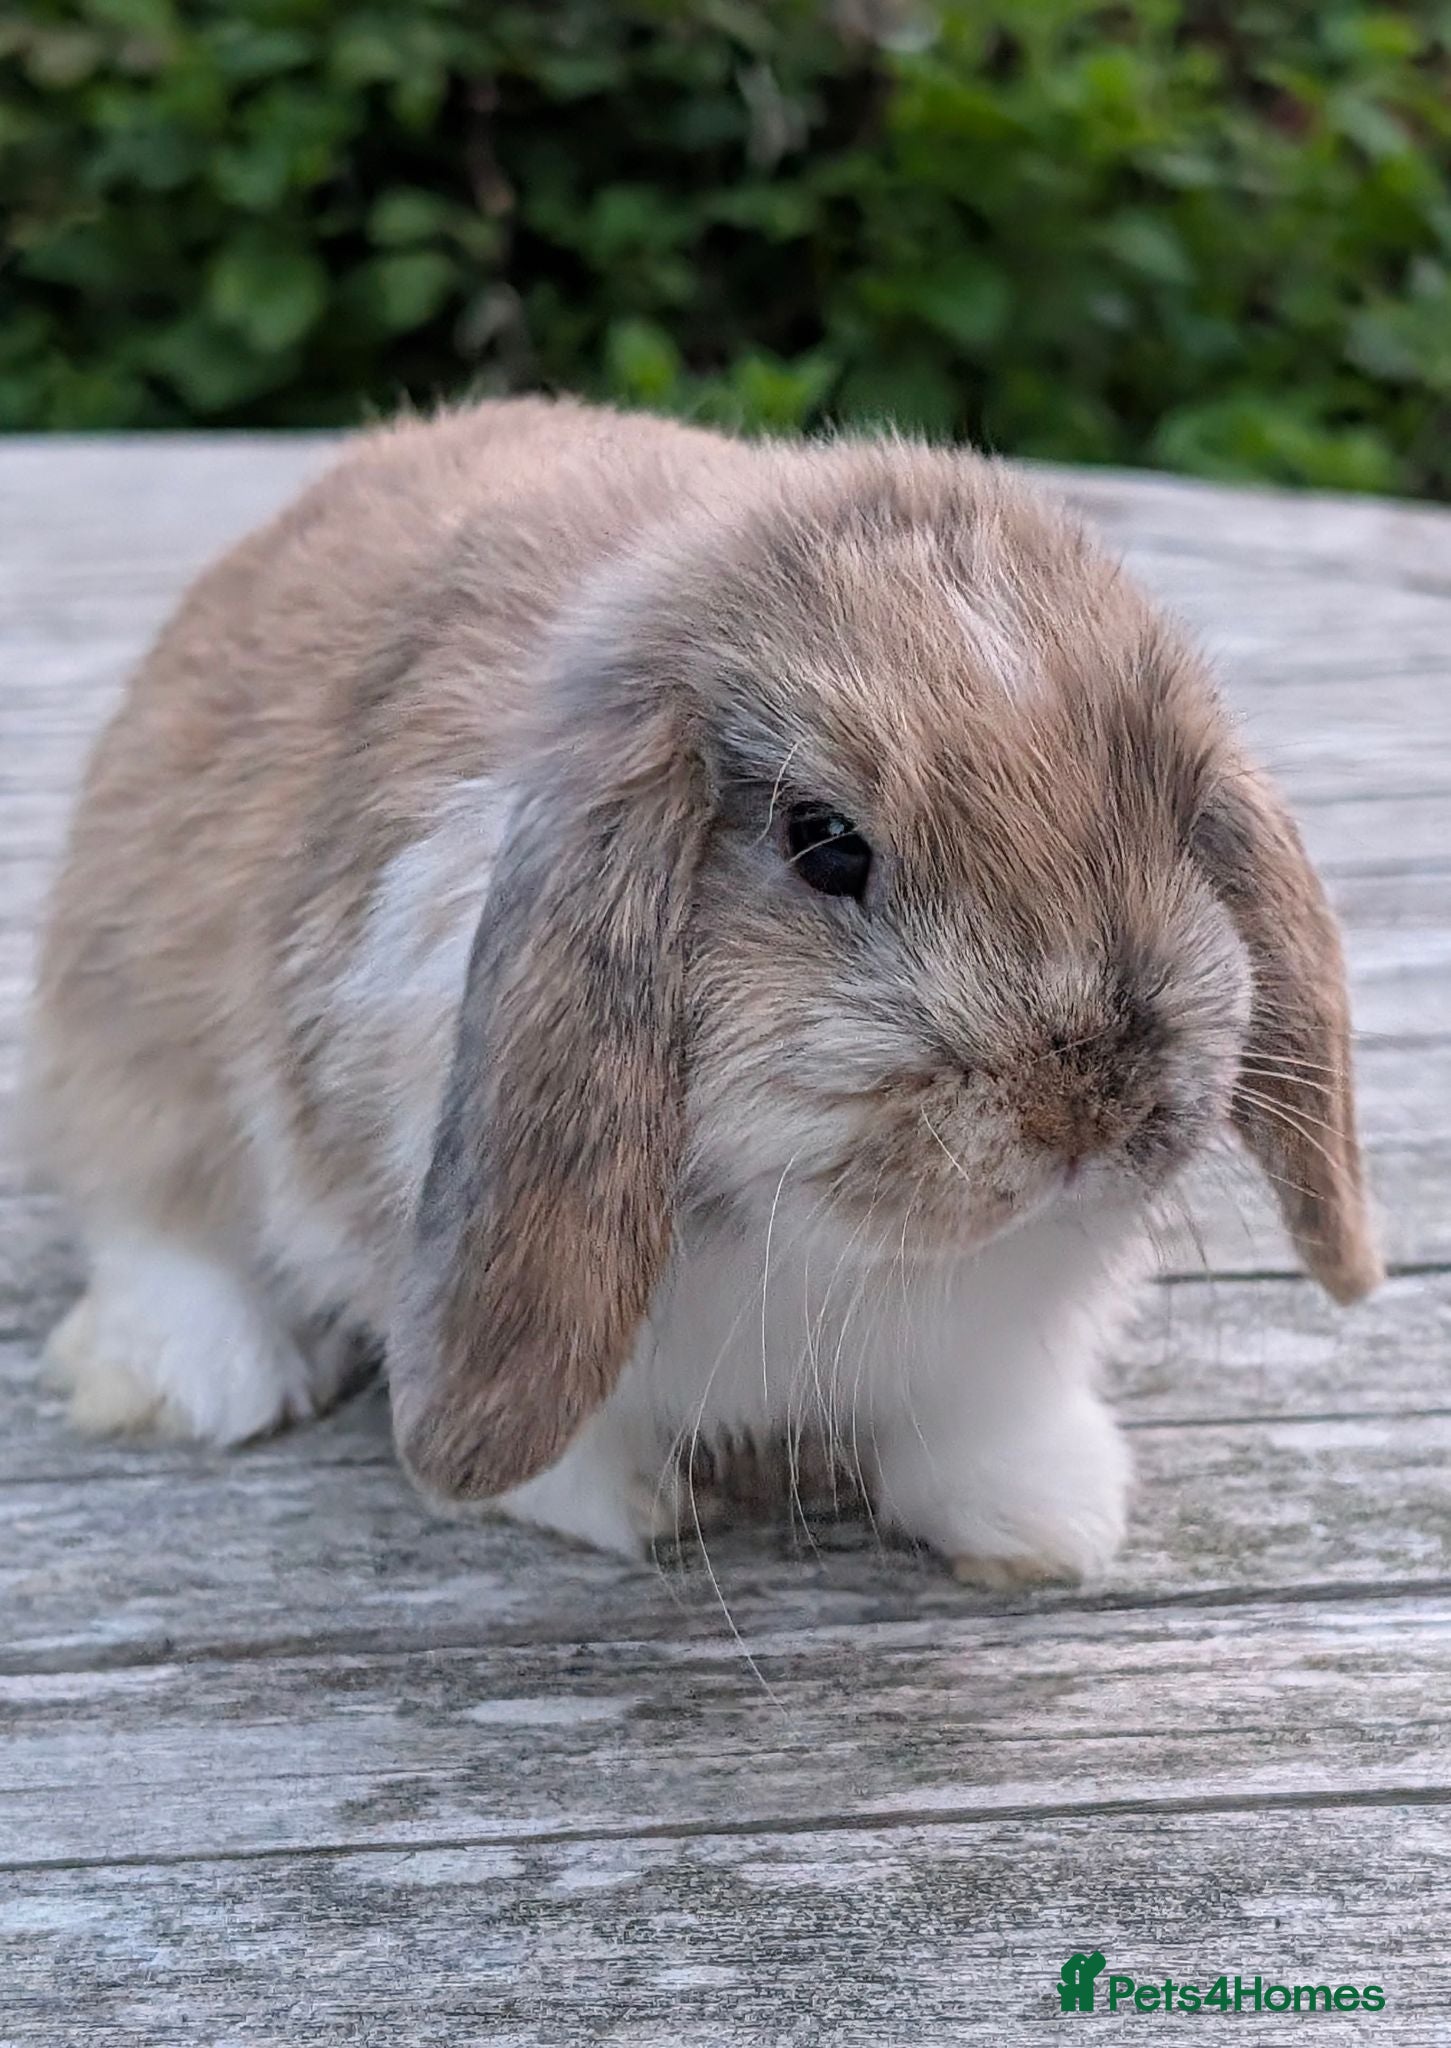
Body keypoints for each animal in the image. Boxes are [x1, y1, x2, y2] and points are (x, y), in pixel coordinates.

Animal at [26, 396, 1382, 1583]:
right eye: (822, 841)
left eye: (1180, 816)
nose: (1083, 1109)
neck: (819, 1240)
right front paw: (622, 1507)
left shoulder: (986, 1356)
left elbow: (974, 1424)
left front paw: (1047, 1526)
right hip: (121, 1031)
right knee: (151, 1213)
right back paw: (211, 1378)